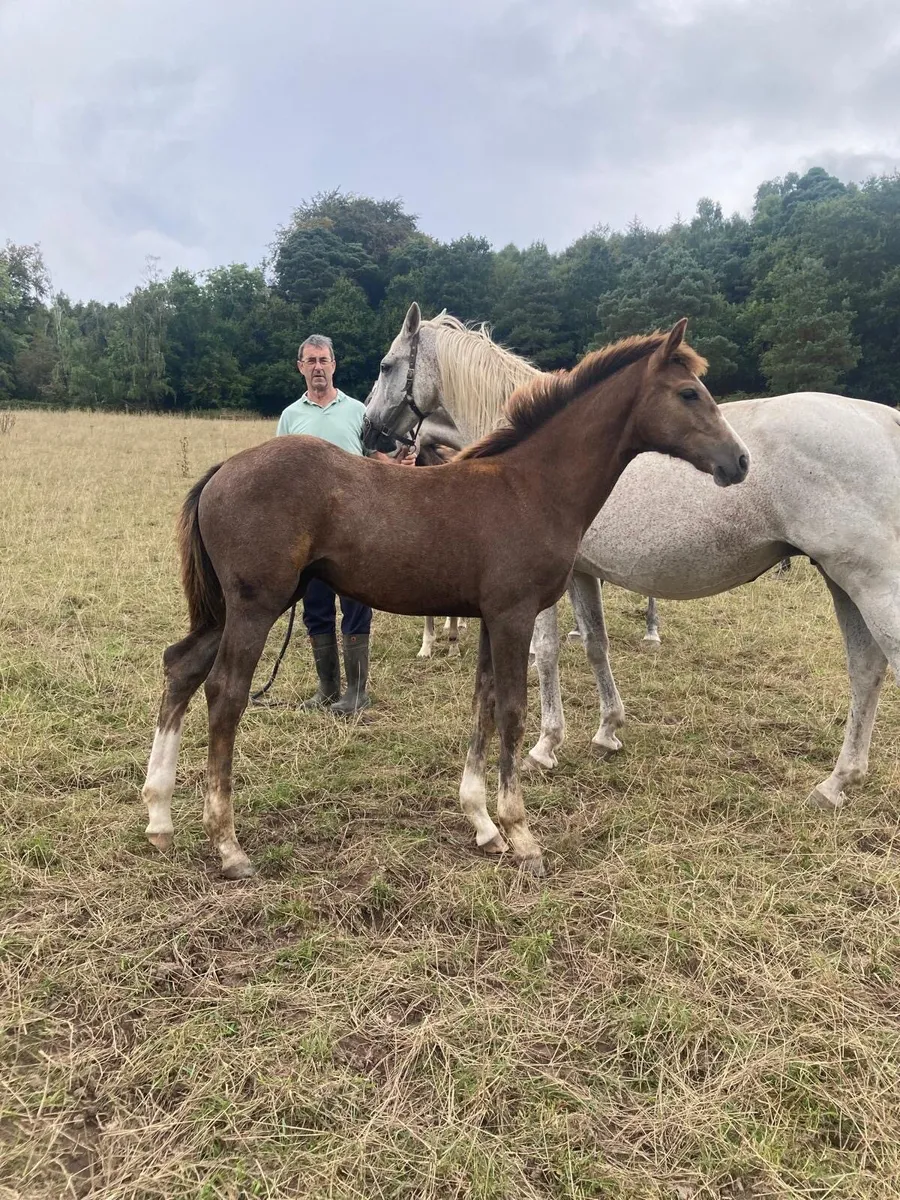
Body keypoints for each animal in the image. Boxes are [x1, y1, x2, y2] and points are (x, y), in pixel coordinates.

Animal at [141, 321, 748, 878]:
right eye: (689, 393)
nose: (739, 461)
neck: (530, 486)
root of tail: (224, 469)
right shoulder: (514, 615)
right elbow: (512, 711)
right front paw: (522, 835)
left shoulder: (491, 618)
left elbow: (484, 703)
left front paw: (483, 824)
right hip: (255, 607)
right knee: (224, 692)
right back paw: (227, 844)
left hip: (229, 609)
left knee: (181, 667)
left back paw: (159, 818)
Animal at [365, 302, 900, 813]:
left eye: (386, 365)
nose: (369, 432)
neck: (535, 462)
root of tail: (886, 419)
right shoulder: (583, 574)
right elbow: (594, 644)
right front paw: (607, 731)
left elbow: (548, 652)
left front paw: (546, 745)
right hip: (842, 580)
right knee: (865, 670)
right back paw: (836, 783)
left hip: (874, 584)